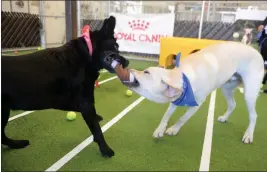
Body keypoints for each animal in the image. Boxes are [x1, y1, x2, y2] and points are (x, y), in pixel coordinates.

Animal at [1, 15, 129, 157]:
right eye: (115, 47)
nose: (127, 62)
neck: (86, 55)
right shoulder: (85, 103)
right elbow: (97, 130)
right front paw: (105, 149)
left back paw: (17, 144)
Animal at [128, 41, 266, 144]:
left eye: (146, 72)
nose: (130, 69)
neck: (186, 78)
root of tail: (256, 52)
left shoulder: (197, 104)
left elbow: (183, 118)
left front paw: (174, 129)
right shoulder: (176, 99)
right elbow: (166, 115)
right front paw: (160, 129)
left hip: (249, 93)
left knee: (253, 115)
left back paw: (248, 135)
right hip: (226, 88)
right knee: (233, 104)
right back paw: (225, 118)